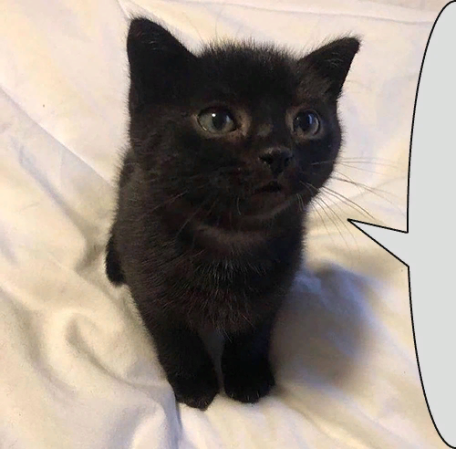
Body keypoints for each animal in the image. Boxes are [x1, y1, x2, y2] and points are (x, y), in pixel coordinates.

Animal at [106, 17, 360, 410]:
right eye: (216, 120)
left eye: (306, 122)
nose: (277, 153)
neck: (231, 240)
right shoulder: (148, 282)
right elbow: (174, 334)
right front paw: (194, 382)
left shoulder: (276, 288)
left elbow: (254, 329)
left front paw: (246, 375)